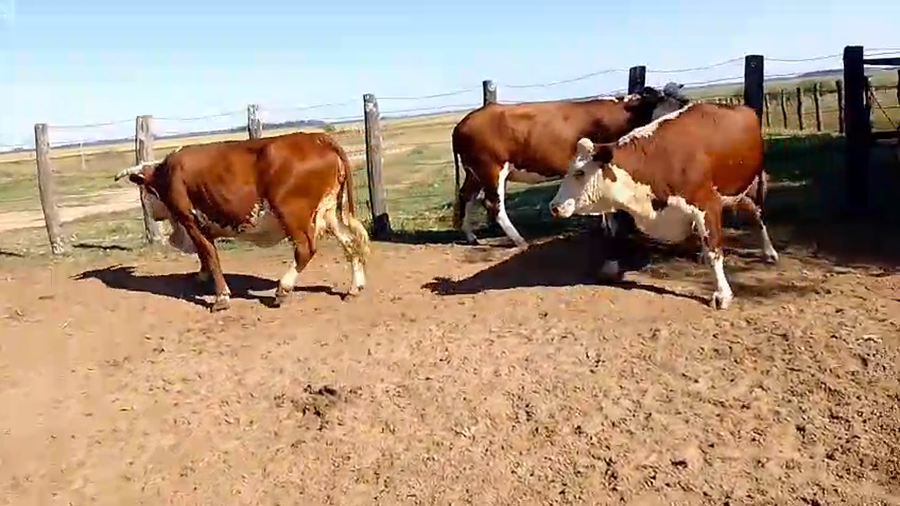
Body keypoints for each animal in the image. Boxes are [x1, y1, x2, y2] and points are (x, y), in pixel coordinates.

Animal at [113, 131, 370, 312]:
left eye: (146, 191)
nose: (151, 212)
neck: (167, 174)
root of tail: (317, 138)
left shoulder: (189, 220)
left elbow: (209, 254)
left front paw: (221, 297)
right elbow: (205, 254)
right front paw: (202, 276)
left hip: (292, 215)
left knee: (305, 249)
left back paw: (283, 288)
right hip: (329, 211)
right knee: (350, 244)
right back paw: (354, 288)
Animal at [450, 82, 691, 249]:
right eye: (666, 100)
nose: (686, 103)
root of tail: (464, 122)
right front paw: (611, 229)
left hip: (475, 172)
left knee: (466, 196)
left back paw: (471, 236)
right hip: (491, 169)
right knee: (493, 204)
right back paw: (519, 240)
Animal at [547, 102, 779, 310]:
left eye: (579, 173)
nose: (554, 206)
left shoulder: (707, 204)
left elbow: (714, 251)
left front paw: (722, 294)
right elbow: (615, 236)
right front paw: (611, 267)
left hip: (751, 186)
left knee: (757, 215)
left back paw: (769, 251)